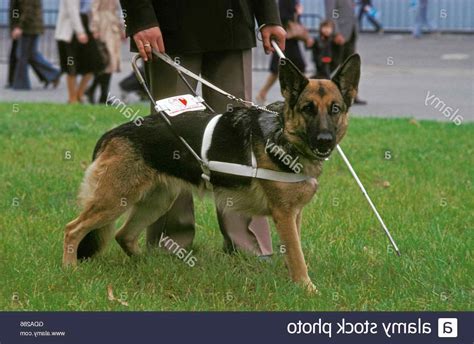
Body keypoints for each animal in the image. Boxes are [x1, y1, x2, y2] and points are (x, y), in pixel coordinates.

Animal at [63, 54, 360, 292]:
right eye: (307, 109)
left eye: (335, 109)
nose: (324, 141)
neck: (283, 135)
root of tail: (114, 133)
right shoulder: (284, 215)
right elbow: (298, 258)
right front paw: (309, 290)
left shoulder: (294, 214)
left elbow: (294, 253)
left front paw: (295, 284)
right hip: (114, 201)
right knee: (72, 229)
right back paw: (70, 271)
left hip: (156, 202)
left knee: (123, 235)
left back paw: (149, 266)